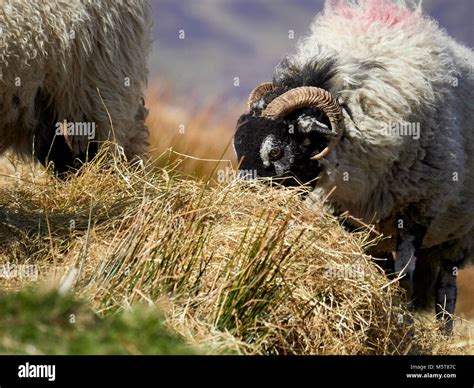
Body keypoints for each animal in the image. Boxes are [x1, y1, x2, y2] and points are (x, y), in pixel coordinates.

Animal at [233, 0, 474, 334]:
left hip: (457, 236)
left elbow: (405, 280)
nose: (243, 206)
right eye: (238, 147)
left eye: (277, 150)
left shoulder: (419, 209)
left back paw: (444, 335)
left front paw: (404, 325)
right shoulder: (347, 211)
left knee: (446, 291)